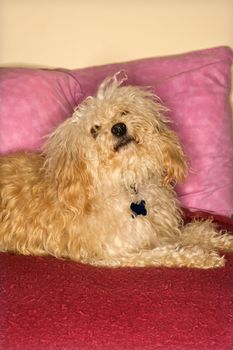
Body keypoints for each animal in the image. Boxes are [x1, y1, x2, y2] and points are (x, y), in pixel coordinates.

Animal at [0, 72, 233, 266]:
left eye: (124, 112)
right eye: (94, 129)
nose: (118, 128)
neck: (128, 182)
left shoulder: (165, 231)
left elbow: (198, 230)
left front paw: (224, 241)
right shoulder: (121, 253)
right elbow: (168, 253)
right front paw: (202, 257)